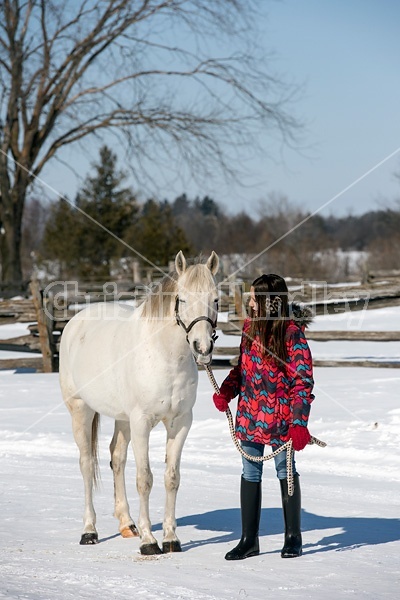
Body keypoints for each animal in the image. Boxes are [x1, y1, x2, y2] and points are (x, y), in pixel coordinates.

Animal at [59, 251, 219, 556]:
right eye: (182, 299)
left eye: (215, 299)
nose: (202, 347)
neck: (163, 355)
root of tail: (77, 321)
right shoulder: (142, 422)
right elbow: (145, 479)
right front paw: (149, 541)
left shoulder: (180, 423)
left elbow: (171, 477)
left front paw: (170, 539)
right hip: (81, 410)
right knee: (86, 464)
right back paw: (90, 531)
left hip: (123, 419)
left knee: (117, 458)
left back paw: (127, 524)